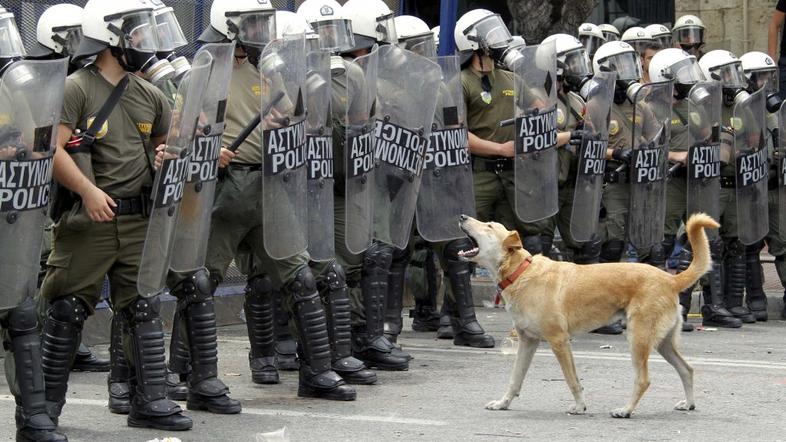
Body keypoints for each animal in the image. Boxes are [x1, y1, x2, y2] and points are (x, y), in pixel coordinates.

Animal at [456, 214, 720, 418]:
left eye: (489, 225)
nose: (462, 216)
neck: (521, 272)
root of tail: (670, 279)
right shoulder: (527, 341)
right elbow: (515, 378)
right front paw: (503, 403)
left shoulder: (559, 341)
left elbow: (572, 380)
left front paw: (580, 406)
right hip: (662, 343)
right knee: (687, 369)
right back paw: (688, 404)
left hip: (639, 339)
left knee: (644, 380)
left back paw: (626, 410)